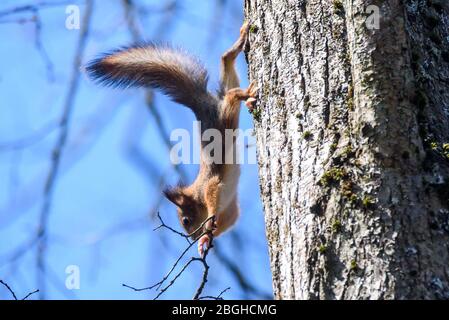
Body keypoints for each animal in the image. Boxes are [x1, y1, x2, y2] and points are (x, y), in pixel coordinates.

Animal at [86, 21, 258, 256]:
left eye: (186, 220)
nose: (192, 238)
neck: (198, 195)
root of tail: (202, 103)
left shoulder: (211, 187)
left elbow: (212, 206)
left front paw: (204, 236)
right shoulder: (231, 212)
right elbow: (226, 223)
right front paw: (204, 242)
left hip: (224, 115)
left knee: (231, 93)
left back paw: (246, 90)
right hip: (227, 102)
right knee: (227, 67)